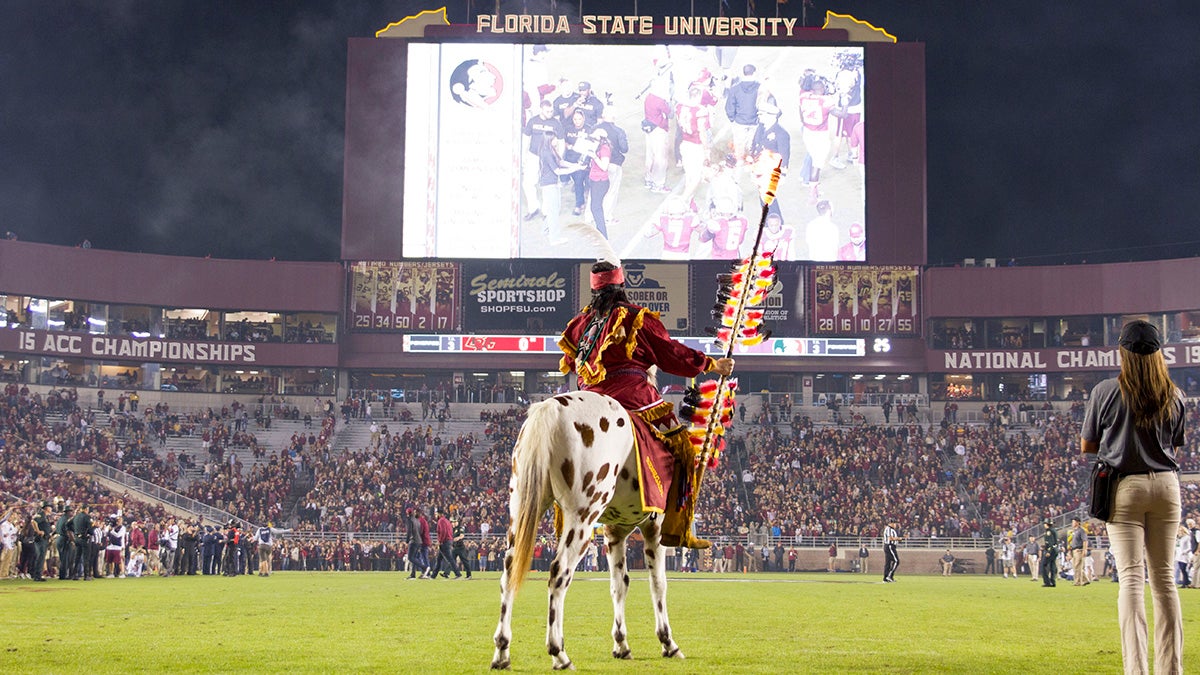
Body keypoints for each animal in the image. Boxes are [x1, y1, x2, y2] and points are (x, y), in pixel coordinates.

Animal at [492, 389, 691, 667]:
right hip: (582, 517)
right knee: (559, 573)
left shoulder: (614, 532)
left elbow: (619, 584)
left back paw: (502, 651)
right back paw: (559, 652)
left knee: (509, 573)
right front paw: (667, 642)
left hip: (520, 508)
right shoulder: (655, 529)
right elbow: (658, 583)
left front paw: (621, 645)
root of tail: (550, 409)